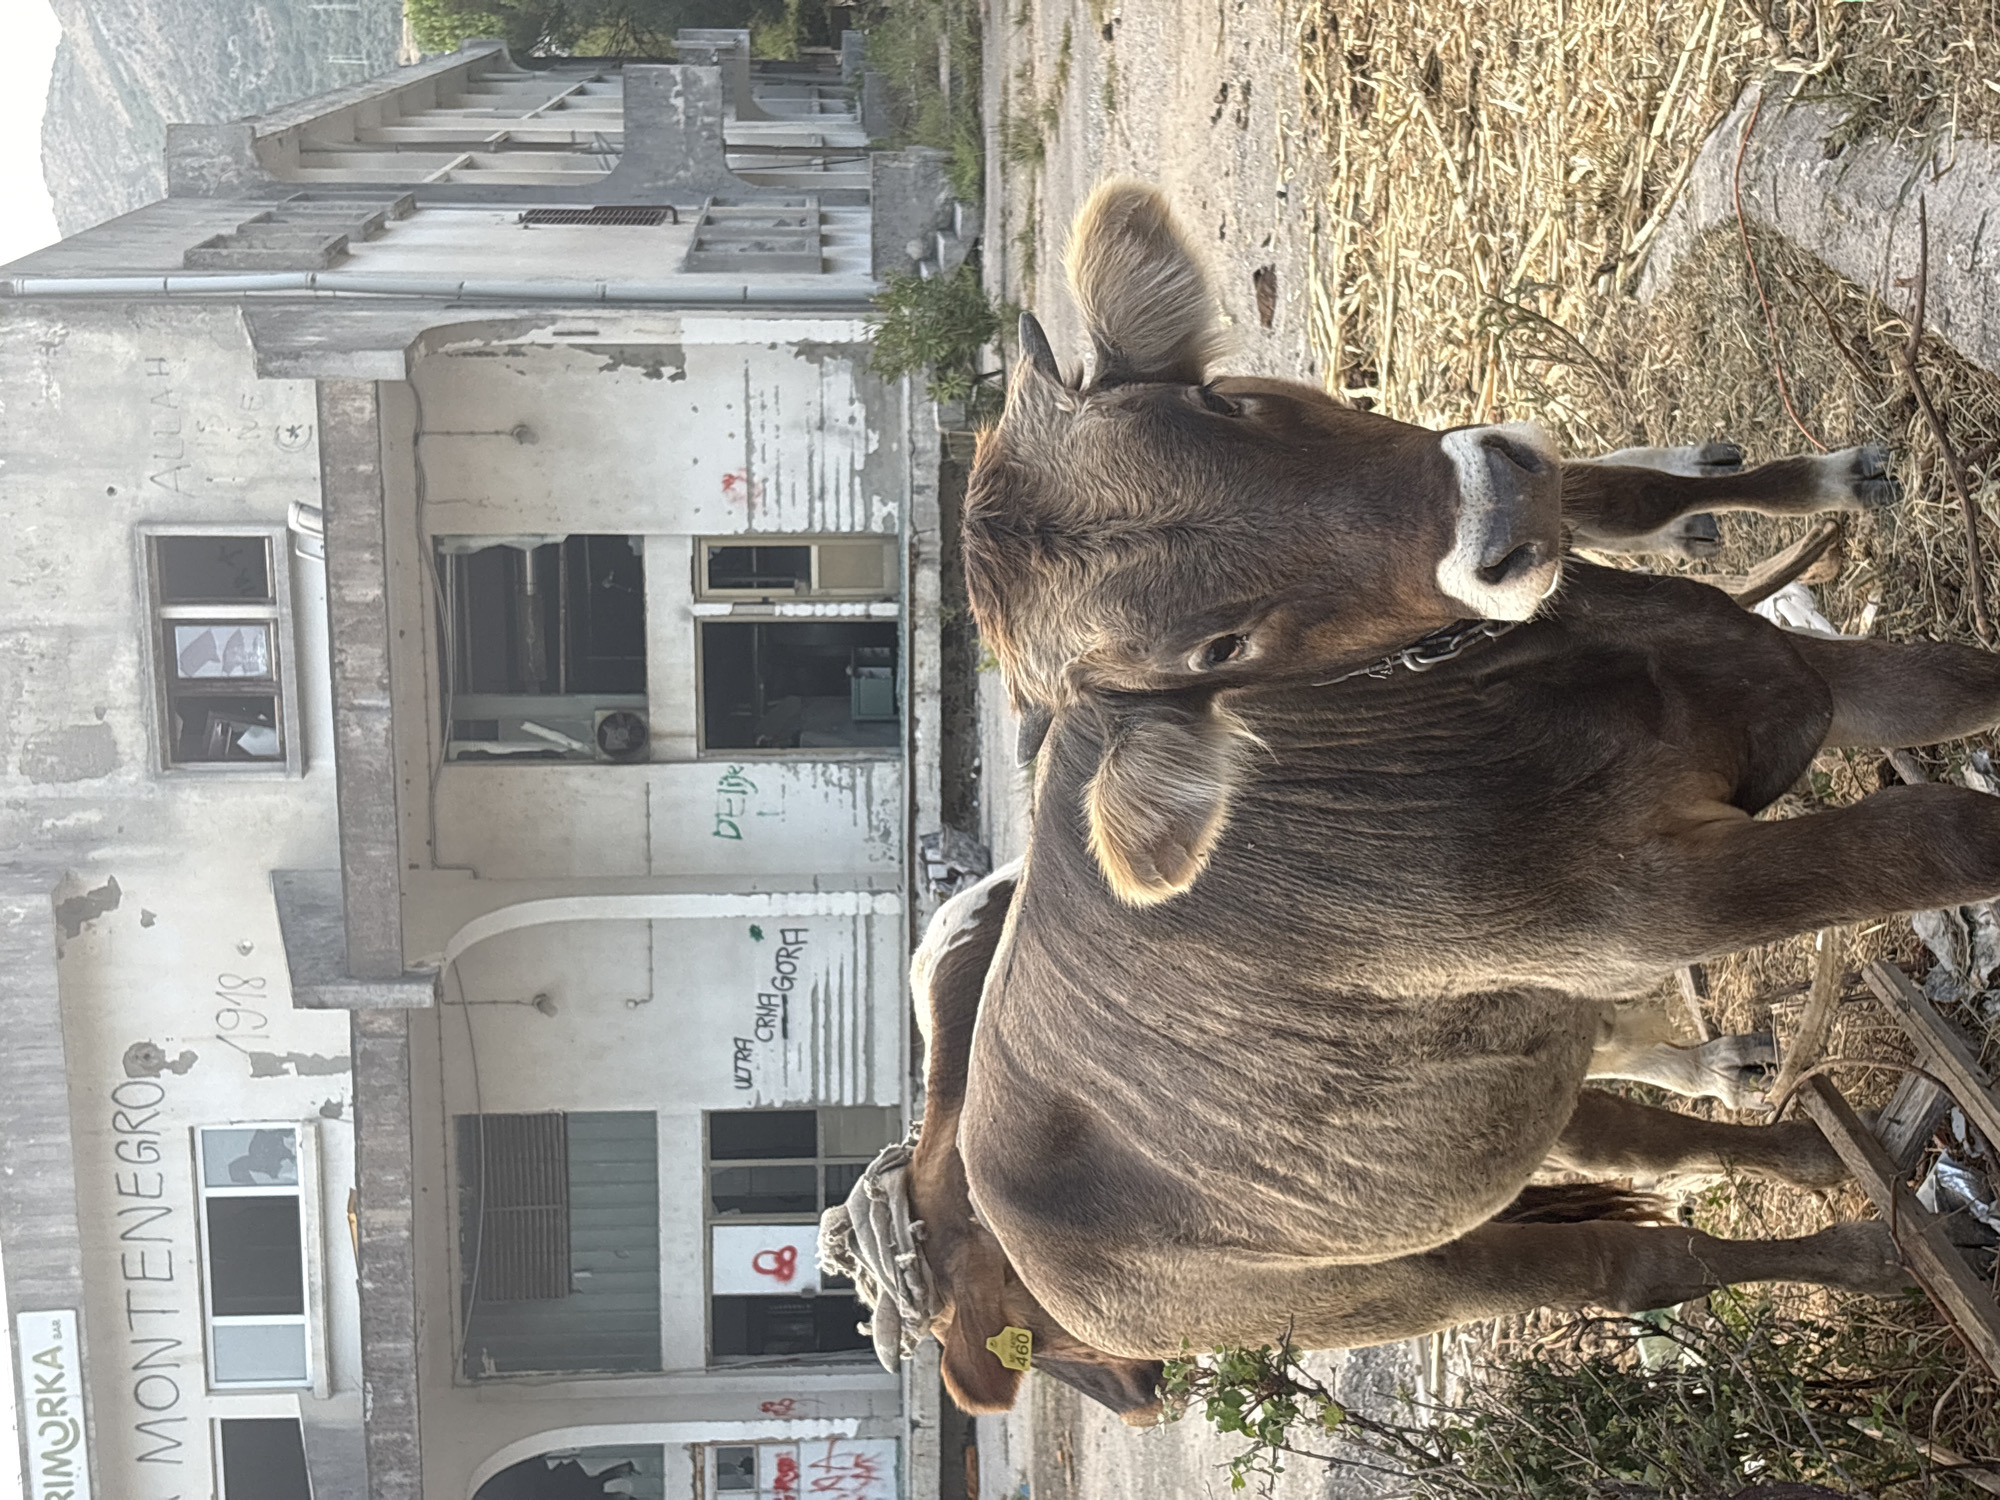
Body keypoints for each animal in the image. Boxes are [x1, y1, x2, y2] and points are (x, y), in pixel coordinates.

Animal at [919, 180, 2000, 1413]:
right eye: (1216, 650)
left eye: (1225, 401)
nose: (1504, 505)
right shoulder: (1656, 906)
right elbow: (1936, 834)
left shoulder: (1800, 675)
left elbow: (1959, 685)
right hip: (1405, 1280)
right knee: (1640, 1261)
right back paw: (1872, 1249)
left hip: (1510, 1096)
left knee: (1643, 1145)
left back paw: (1816, 1154)